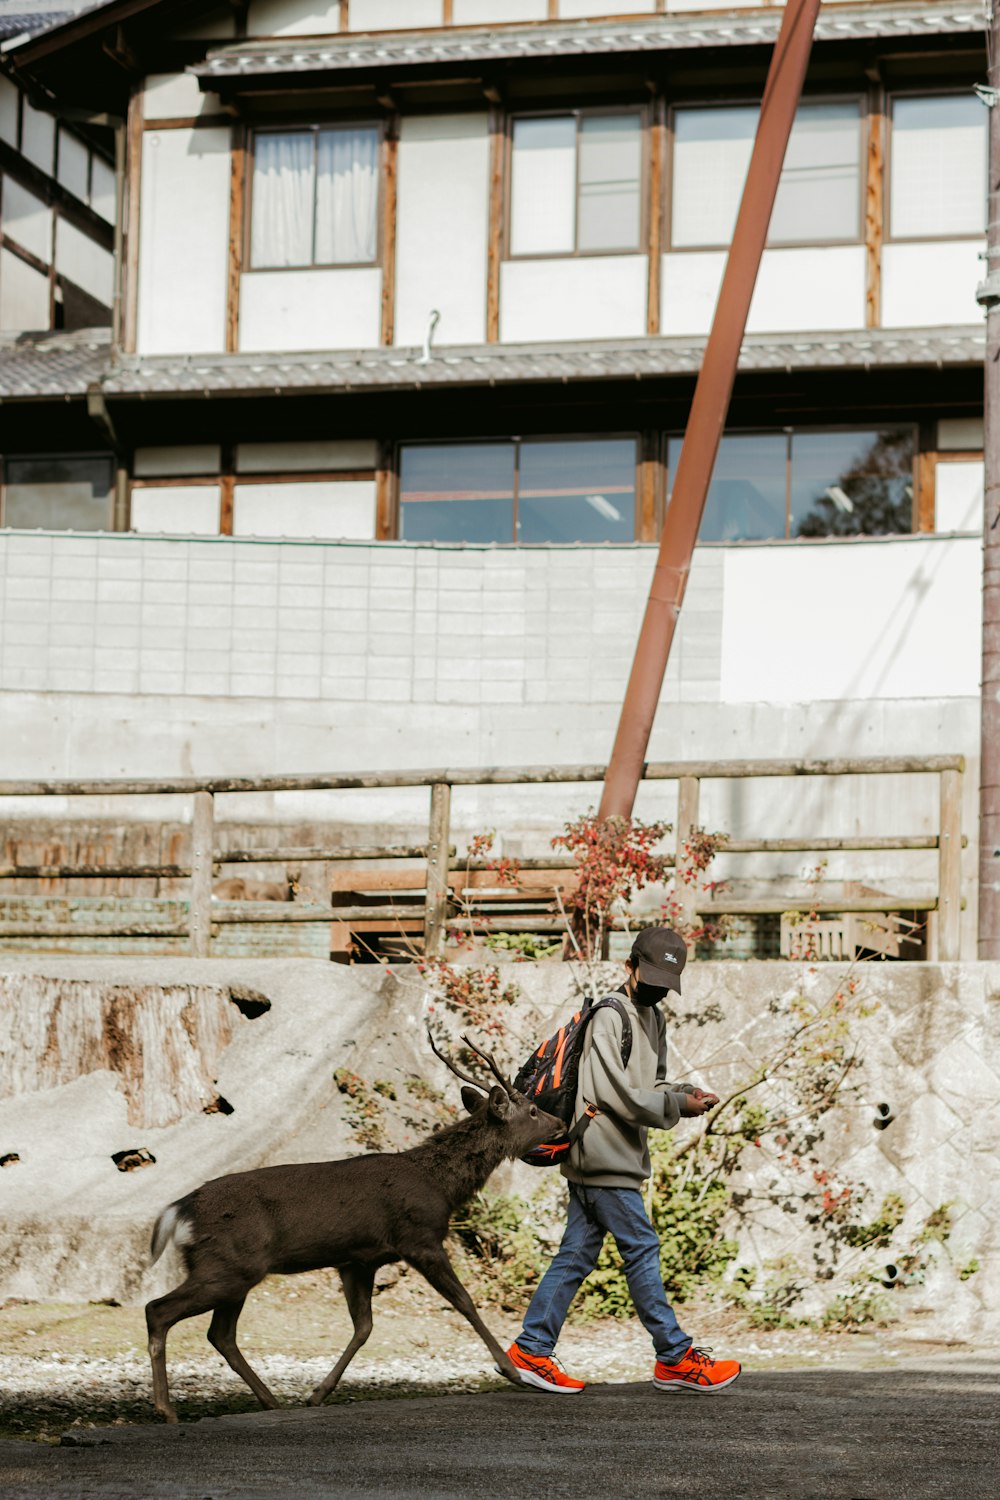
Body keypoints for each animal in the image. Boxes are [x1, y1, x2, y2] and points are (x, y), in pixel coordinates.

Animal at [142, 1026, 563, 1422]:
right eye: (532, 1110)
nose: (560, 1121)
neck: (440, 1186)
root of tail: (179, 1209)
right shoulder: (419, 1237)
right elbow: (465, 1303)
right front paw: (511, 1370)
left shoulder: (358, 1259)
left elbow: (364, 1326)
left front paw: (317, 1394)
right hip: (229, 1263)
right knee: (158, 1310)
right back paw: (166, 1409)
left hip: (235, 1270)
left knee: (221, 1334)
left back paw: (270, 1401)